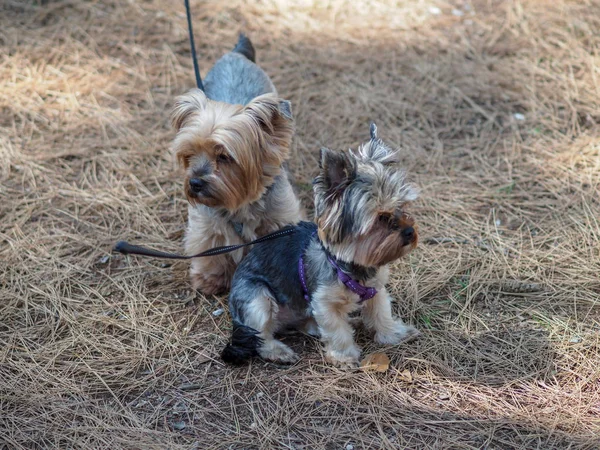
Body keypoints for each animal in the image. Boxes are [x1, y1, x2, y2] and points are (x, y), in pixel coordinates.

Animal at [171, 35, 302, 296]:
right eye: (190, 154)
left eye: (224, 157)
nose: (195, 182)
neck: (240, 204)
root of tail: (235, 53)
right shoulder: (207, 226)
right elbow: (210, 250)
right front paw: (211, 279)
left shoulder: (279, 221)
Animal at [223, 123, 420, 366]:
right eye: (381, 218)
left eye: (401, 207)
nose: (410, 232)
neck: (353, 267)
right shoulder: (324, 302)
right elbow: (336, 330)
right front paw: (344, 356)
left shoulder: (377, 289)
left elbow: (382, 313)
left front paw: (394, 333)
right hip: (256, 298)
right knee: (260, 335)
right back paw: (278, 351)